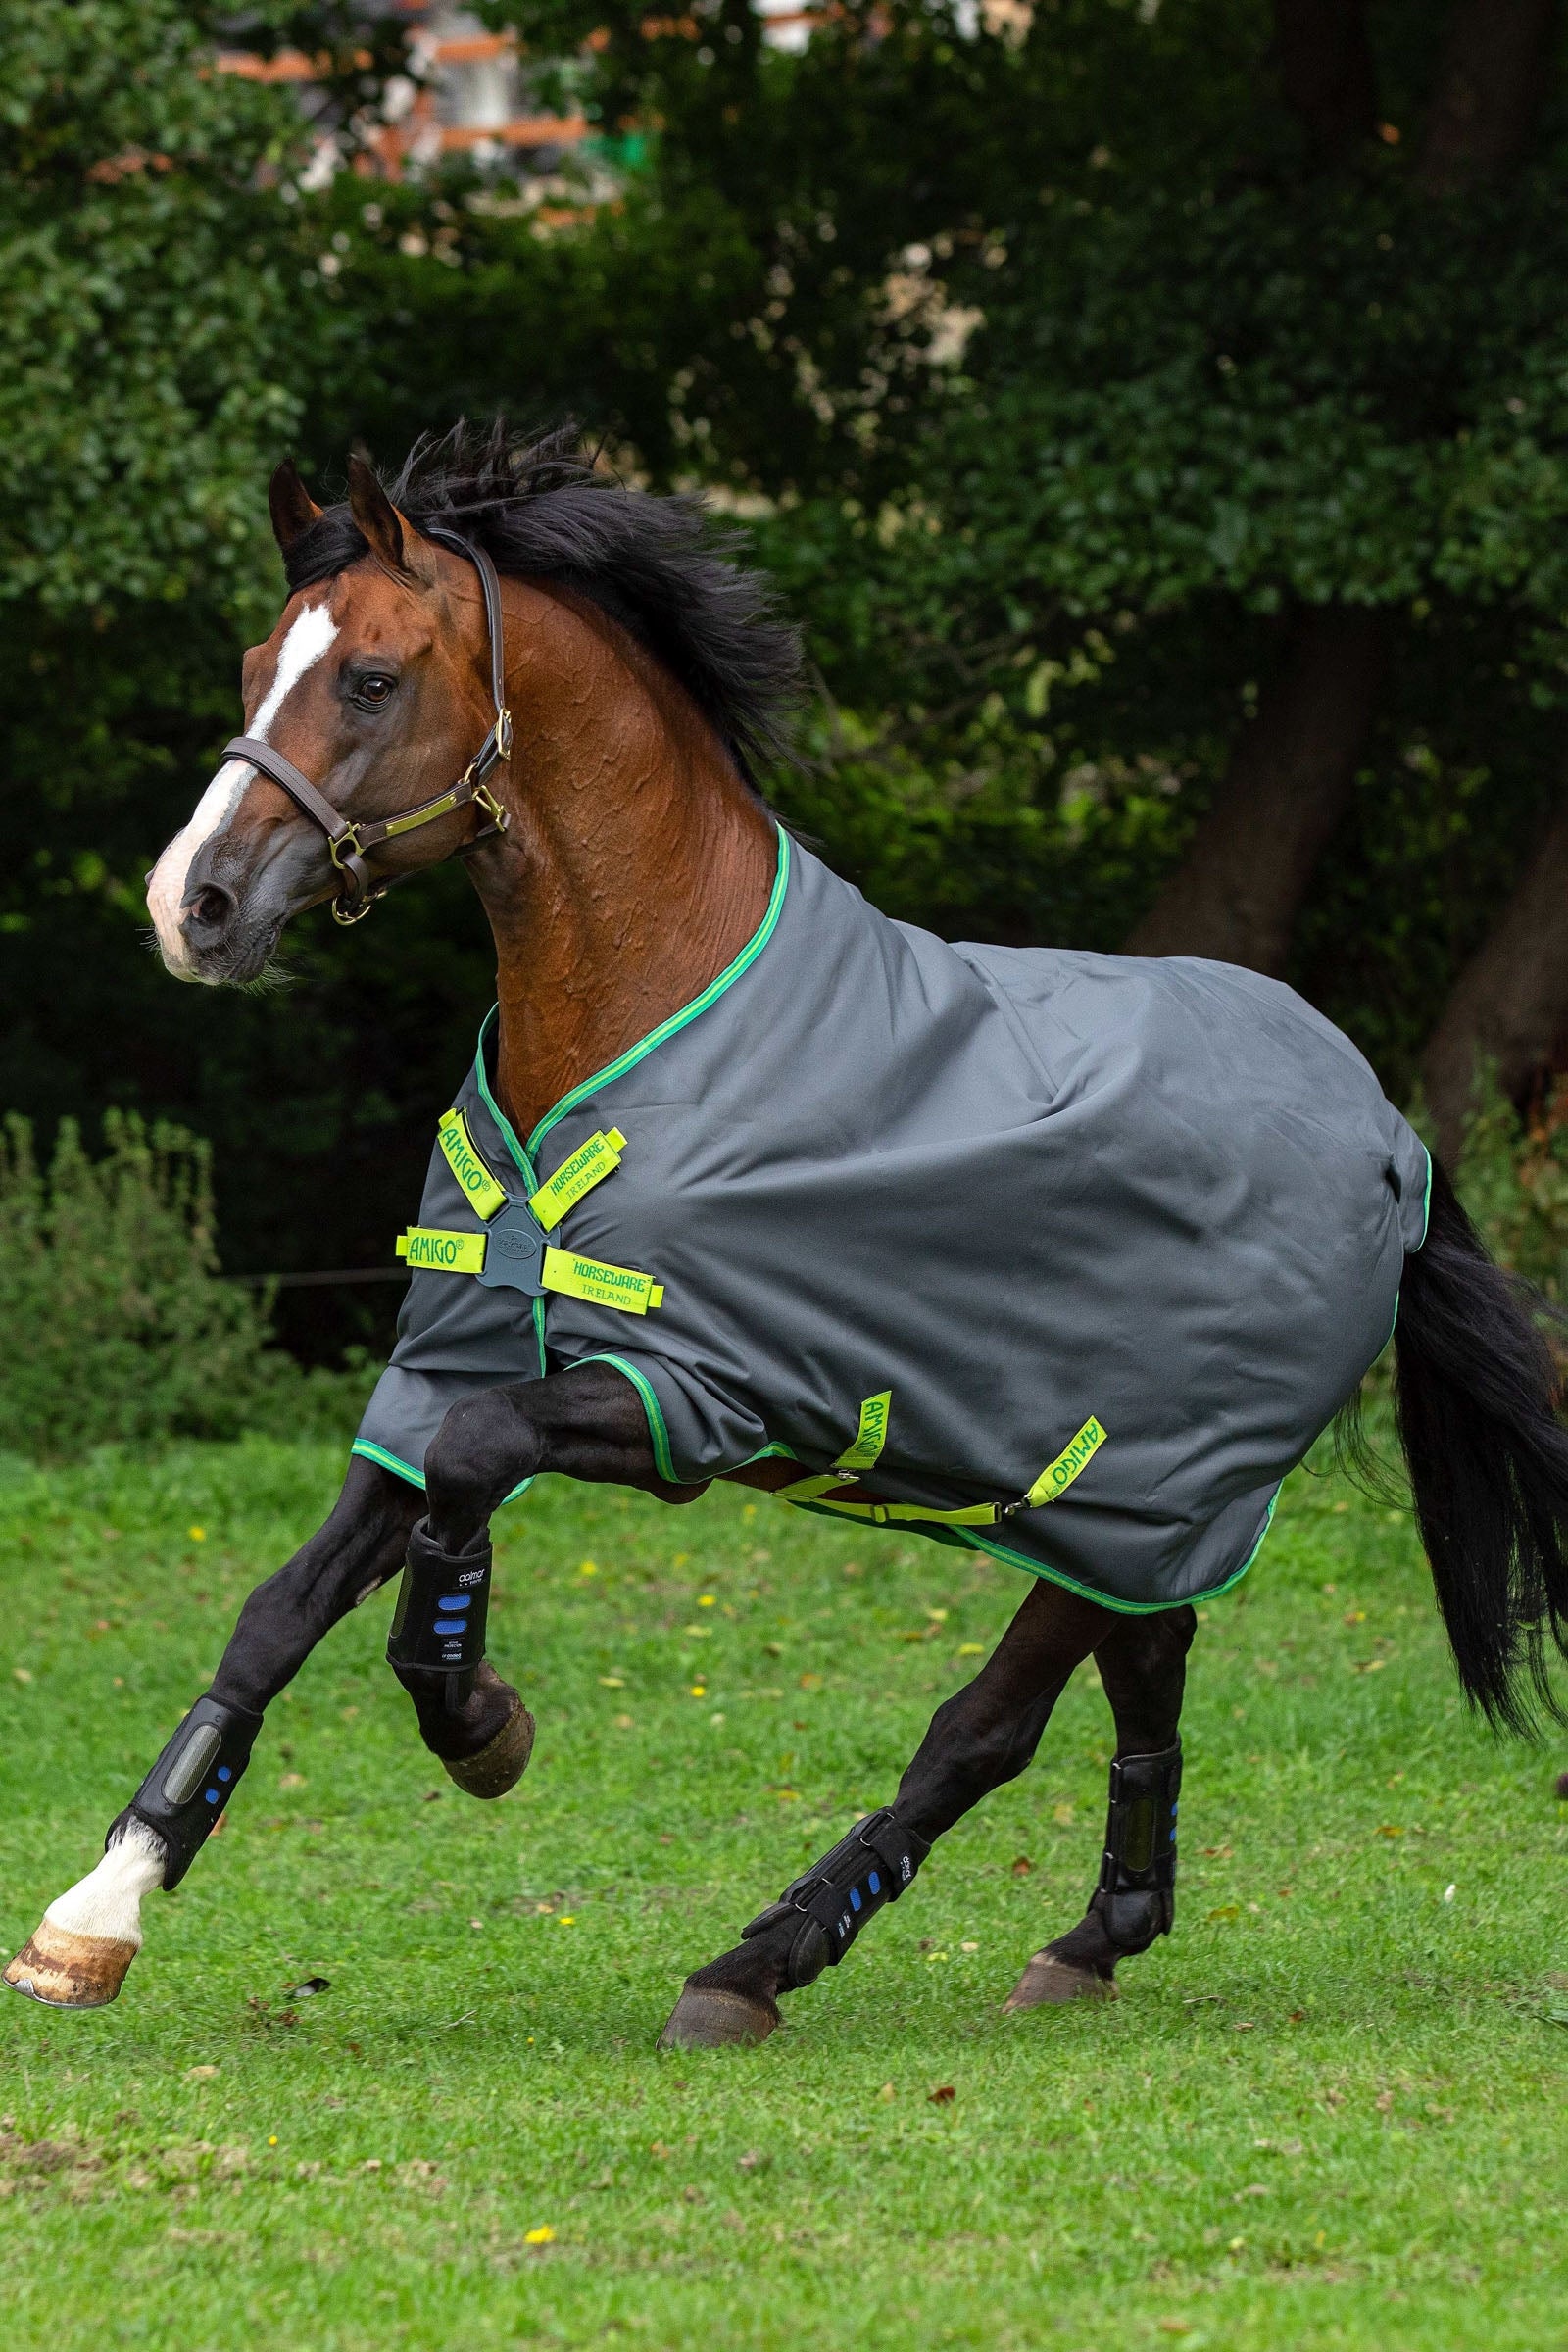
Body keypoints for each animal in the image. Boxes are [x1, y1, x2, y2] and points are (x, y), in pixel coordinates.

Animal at [8, 424, 1565, 2046]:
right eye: (261, 663)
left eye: (370, 678)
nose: (192, 904)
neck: (651, 1010)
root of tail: (1393, 1140)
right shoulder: (446, 1367)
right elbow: (281, 1607)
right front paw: (94, 1917)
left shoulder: (692, 1399)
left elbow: (475, 1476)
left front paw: (480, 1721)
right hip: (1129, 1513)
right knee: (1146, 1667)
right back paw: (1094, 1938)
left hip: (1138, 1491)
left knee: (986, 1727)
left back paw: (760, 1959)